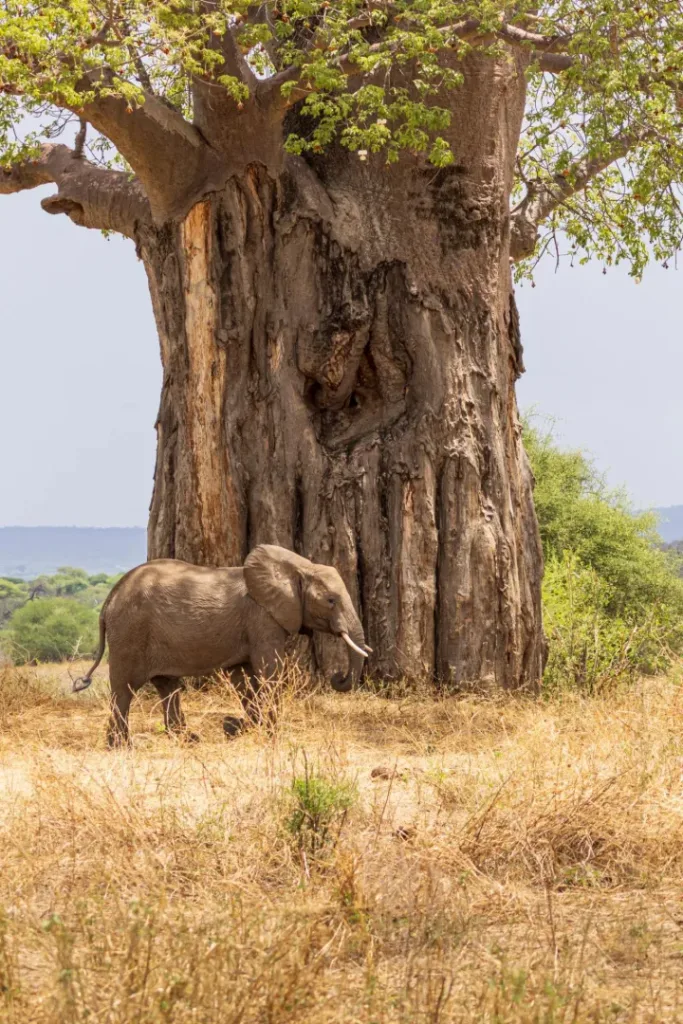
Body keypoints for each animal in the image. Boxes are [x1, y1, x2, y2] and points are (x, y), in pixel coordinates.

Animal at [72, 544, 370, 747]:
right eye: (331, 601)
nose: (337, 676)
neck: (298, 566)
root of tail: (109, 600)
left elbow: (243, 677)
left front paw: (240, 728)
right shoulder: (262, 618)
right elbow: (269, 670)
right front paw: (268, 734)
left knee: (167, 686)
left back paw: (188, 739)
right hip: (130, 633)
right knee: (125, 689)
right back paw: (122, 746)